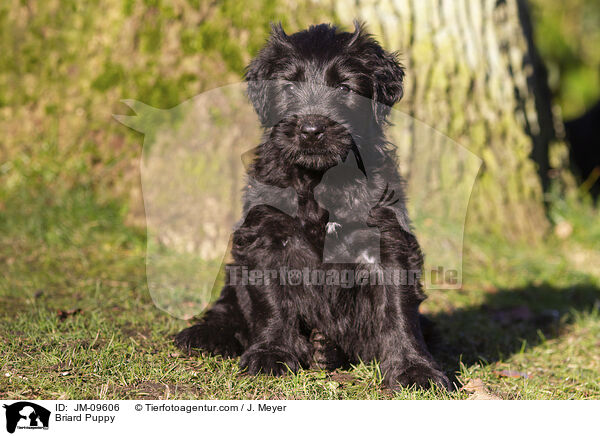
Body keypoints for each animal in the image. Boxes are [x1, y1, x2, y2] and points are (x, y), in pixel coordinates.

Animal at [175, 22, 450, 390]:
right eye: (289, 85)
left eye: (344, 87)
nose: (311, 130)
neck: (320, 182)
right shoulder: (266, 237)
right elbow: (271, 301)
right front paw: (271, 354)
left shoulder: (388, 240)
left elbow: (399, 309)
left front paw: (415, 369)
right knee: (228, 306)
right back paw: (205, 334)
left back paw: (324, 350)